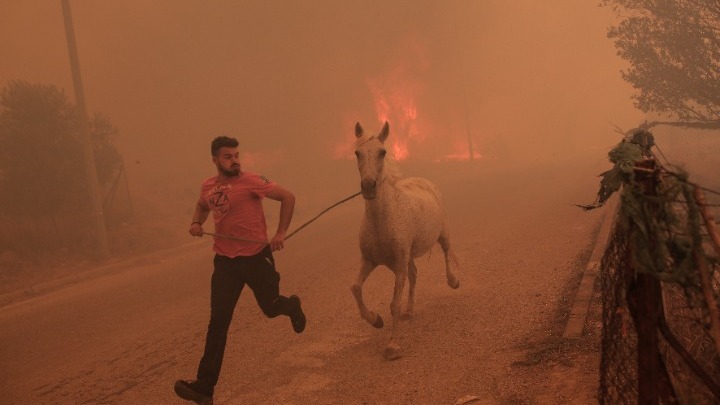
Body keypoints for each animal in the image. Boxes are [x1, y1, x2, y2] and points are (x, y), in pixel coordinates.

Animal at [350, 121, 462, 358]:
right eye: (357, 153)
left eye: (382, 152)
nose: (368, 186)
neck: (383, 219)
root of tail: (425, 181)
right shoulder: (370, 261)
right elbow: (355, 288)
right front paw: (375, 320)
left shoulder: (399, 263)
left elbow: (394, 303)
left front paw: (392, 346)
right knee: (414, 274)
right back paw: (409, 311)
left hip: (442, 233)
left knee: (446, 251)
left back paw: (453, 281)